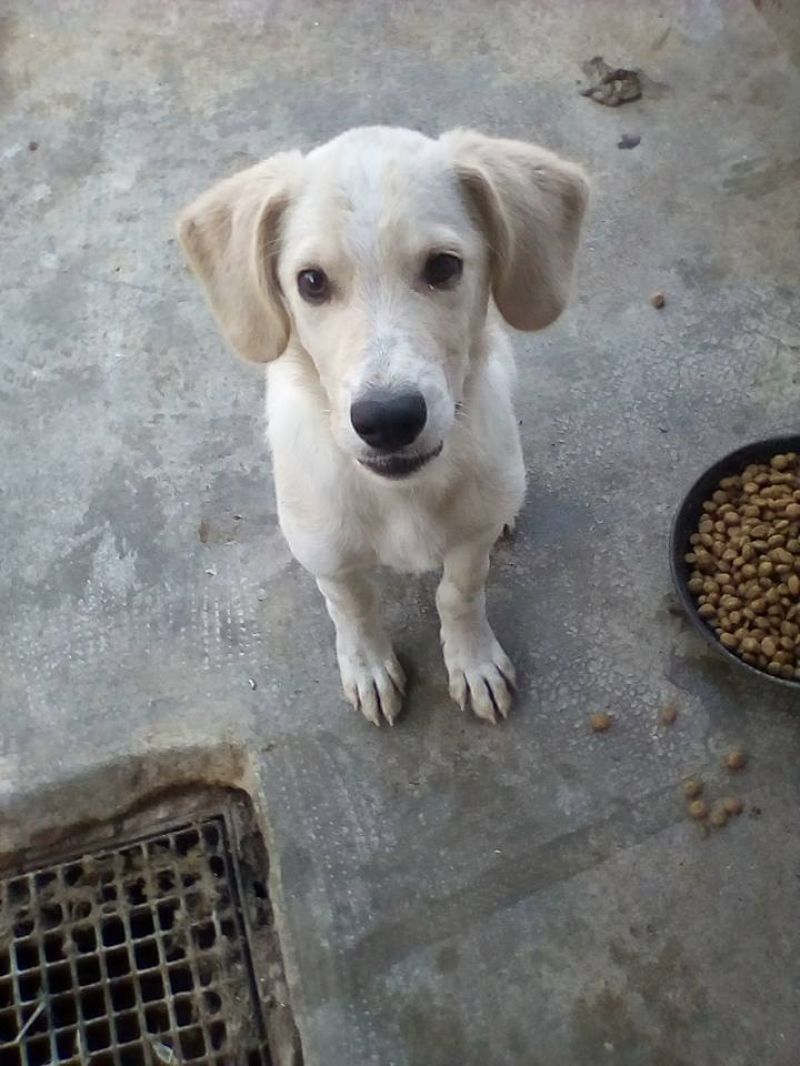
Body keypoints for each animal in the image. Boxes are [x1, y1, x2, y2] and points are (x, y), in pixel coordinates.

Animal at [177, 124, 588, 724]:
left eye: (443, 267)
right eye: (311, 282)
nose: (389, 420)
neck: (401, 495)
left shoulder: (470, 542)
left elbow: (459, 593)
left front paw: (472, 661)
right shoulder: (326, 553)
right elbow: (352, 606)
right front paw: (368, 667)